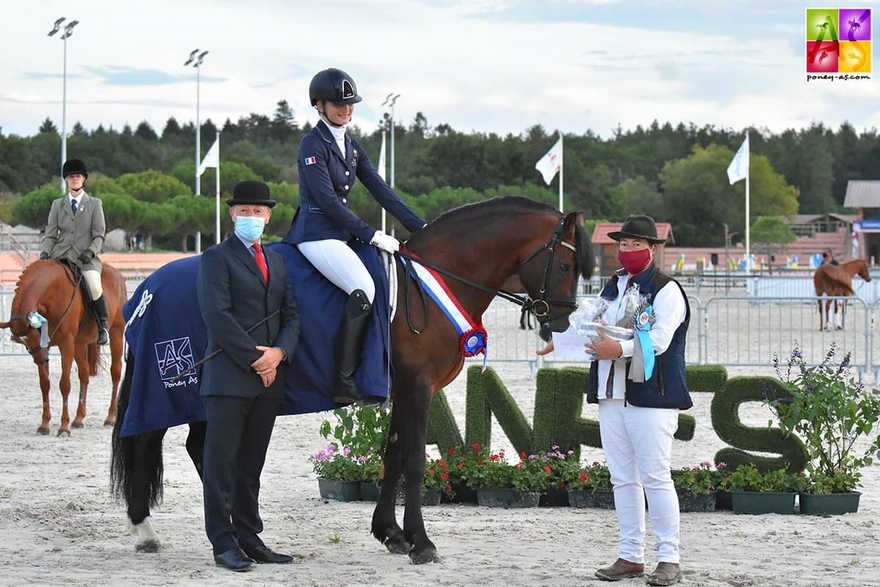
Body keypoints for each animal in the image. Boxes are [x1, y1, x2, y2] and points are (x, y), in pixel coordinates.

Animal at [0, 260, 127, 436]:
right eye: (24, 344)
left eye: (35, 336)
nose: (43, 360)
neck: (52, 293)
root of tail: (118, 274)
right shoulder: (50, 346)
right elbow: (44, 384)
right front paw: (44, 425)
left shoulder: (66, 344)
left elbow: (64, 384)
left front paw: (63, 427)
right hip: (79, 344)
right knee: (84, 375)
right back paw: (78, 419)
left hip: (116, 333)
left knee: (115, 373)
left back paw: (110, 418)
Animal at [110, 195, 592, 560]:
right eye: (565, 268)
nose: (562, 322)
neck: (432, 281)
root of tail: (147, 289)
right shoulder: (418, 387)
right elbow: (414, 461)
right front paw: (422, 543)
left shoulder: (404, 390)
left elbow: (393, 457)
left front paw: (391, 534)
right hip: (172, 389)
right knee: (151, 442)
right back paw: (146, 531)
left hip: (208, 397)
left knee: (202, 447)